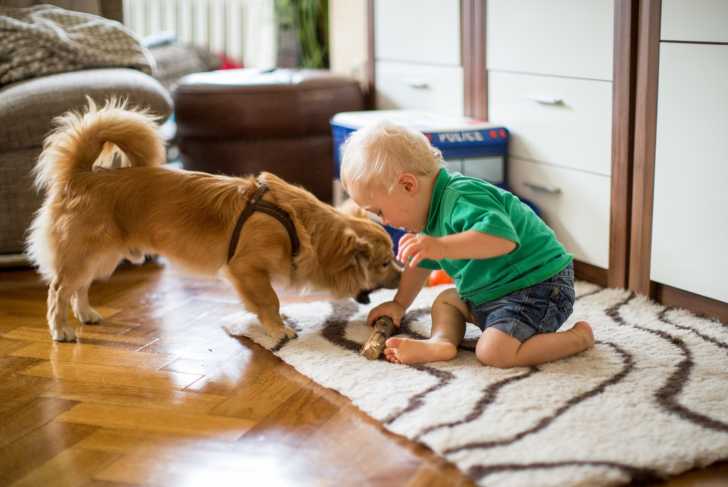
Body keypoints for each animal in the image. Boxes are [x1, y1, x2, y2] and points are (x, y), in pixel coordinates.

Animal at [28, 99, 400, 344]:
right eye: (384, 263)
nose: (403, 272)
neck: (300, 227)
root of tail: (81, 175)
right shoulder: (246, 269)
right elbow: (270, 300)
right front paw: (278, 329)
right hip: (85, 253)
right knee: (59, 289)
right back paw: (61, 329)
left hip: (102, 257)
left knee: (79, 287)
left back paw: (86, 314)